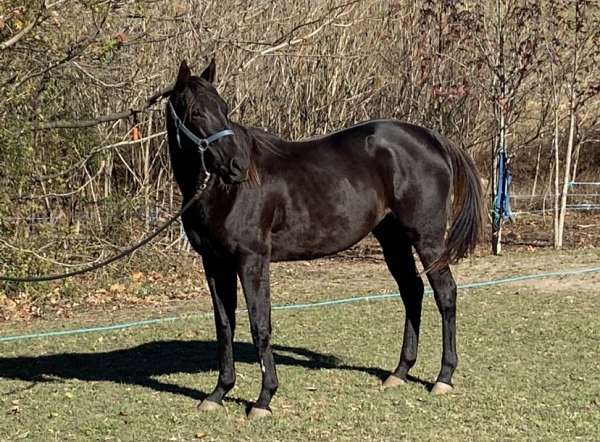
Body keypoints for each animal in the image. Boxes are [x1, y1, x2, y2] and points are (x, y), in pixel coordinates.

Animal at [166, 59, 486, 418]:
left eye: (223, 108)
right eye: (195, 112)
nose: (237, 166)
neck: (224, 193)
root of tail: (432, 138)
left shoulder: (252, 259)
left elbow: (260, 323)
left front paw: (264, 399)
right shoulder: (214, 263)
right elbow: (224, 325)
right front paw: (218, 392)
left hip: (427, 239)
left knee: (445, 294)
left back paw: (443, 377)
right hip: (392, 239)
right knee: (412, 291)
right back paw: (400, 372)